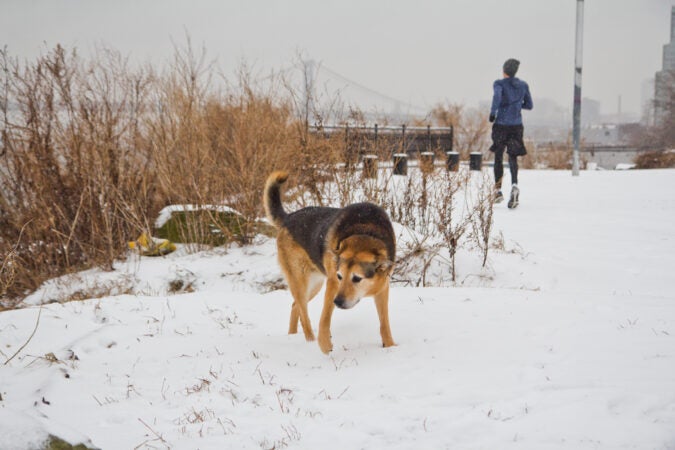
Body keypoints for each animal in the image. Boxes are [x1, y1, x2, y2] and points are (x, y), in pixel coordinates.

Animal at [264, 172, 396, 356]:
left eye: (357, 278)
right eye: (340, 276)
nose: (338, 302)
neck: (366, 232)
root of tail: (288, 218)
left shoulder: (383, 288)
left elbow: (385, 323)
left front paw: (391, 347)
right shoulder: (333, 284)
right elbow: (324, 319)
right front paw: (325, 345)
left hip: (315, 284)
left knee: (294, 306)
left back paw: (292, 336)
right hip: (301, 281)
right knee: (303, 313)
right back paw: (310, 341)